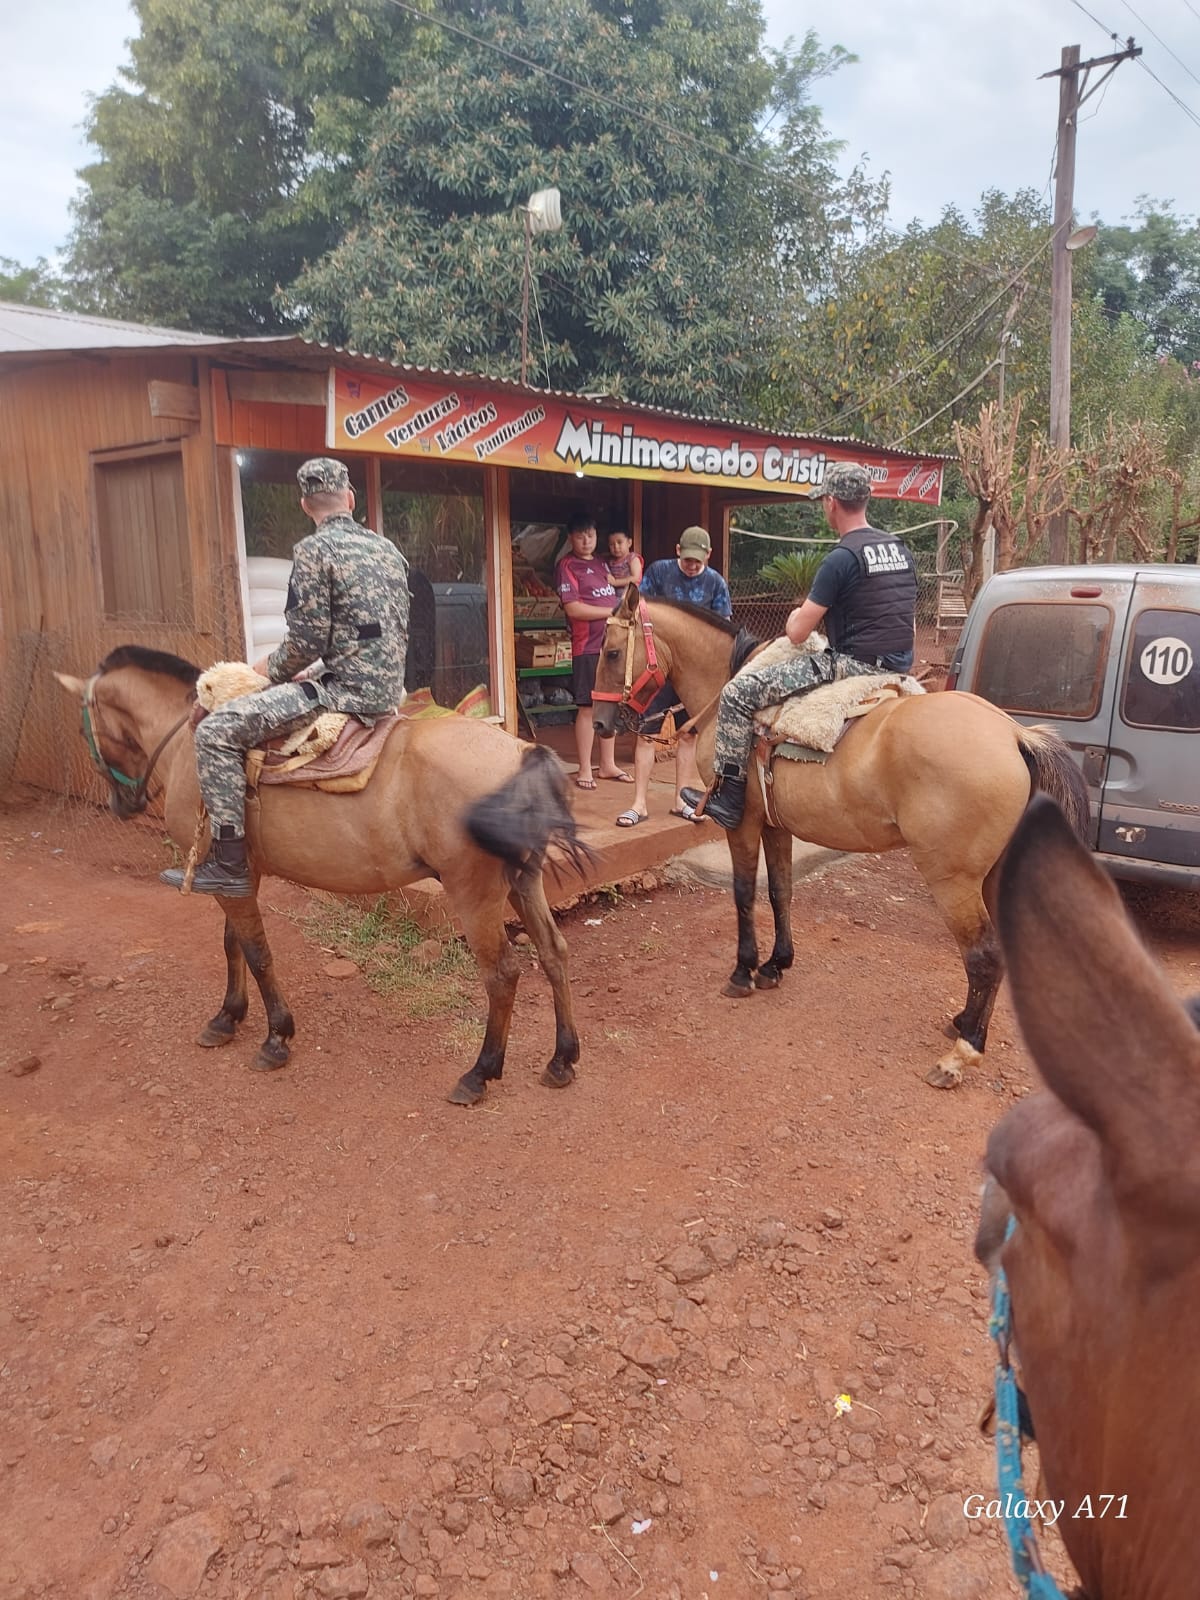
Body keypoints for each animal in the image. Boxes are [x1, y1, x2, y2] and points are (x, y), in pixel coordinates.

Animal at [56, 643, 592, 1107]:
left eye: (85, 733)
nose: (120, 805)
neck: (189, 744)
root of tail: (521, 754)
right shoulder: (234, 874)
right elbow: (233, 945)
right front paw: (227, 1017)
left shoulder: (232, 878)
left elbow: (257, 953)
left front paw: (276, 1036)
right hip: (523, 880)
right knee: (554, 952)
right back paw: (562, 1060)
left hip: (474, 892)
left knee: (502, 974)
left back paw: (480, 1072)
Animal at [595, 595, 1100, 1094]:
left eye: (612, 653)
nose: (600, 724)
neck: (725, 689)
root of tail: (1015, 734)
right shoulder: (776, 826)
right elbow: (780, 891)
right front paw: (776, 965)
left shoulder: (743, 823)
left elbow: (743, 894)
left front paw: (743, 971)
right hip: (992, 874)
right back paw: (962, 1022)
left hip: (953, 881)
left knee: (984, 956)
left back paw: (960, 1055)